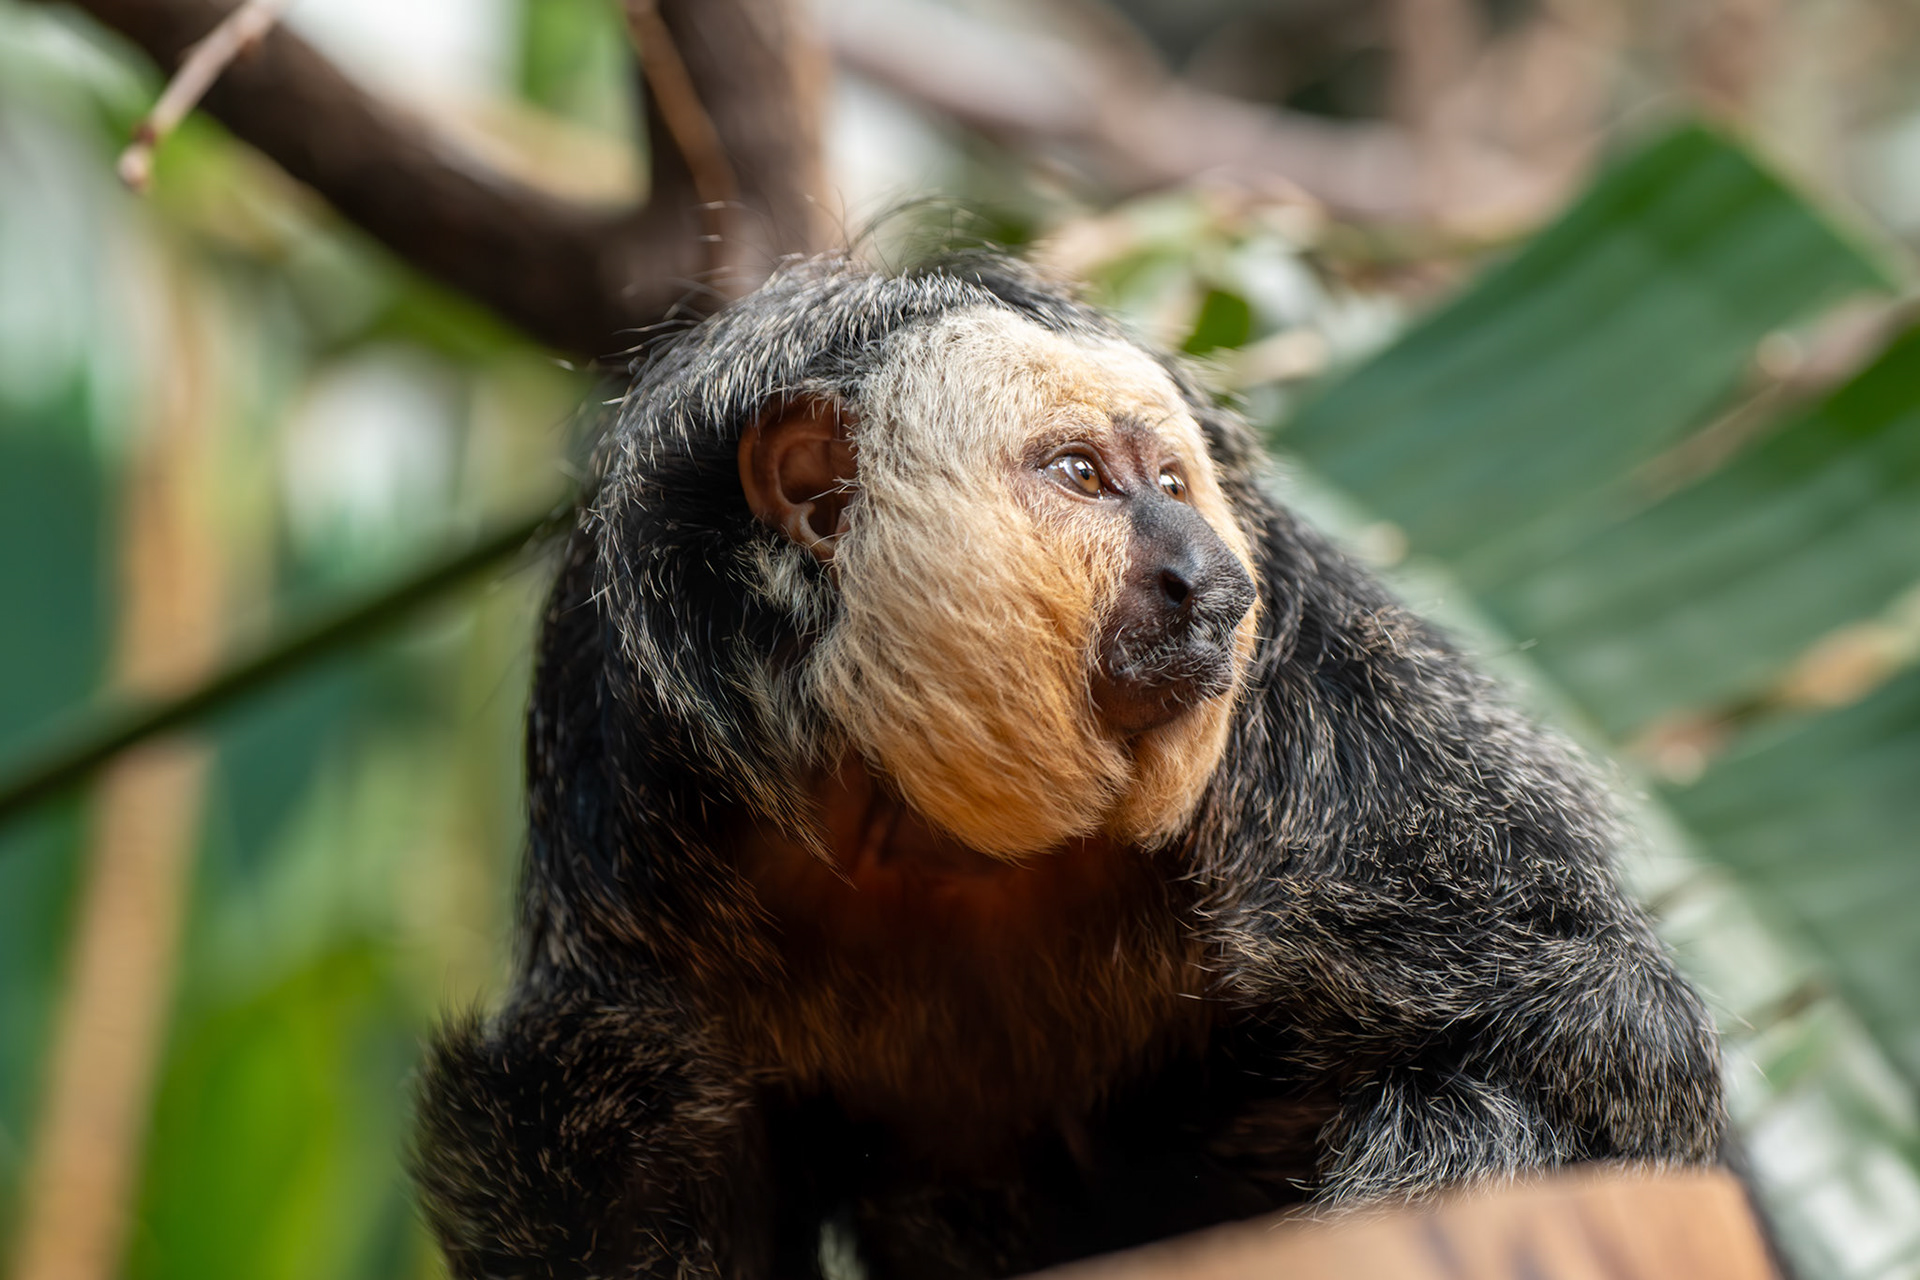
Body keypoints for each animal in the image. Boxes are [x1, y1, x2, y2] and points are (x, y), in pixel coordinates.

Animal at [413, 251, 1725, 1280]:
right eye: (1083, 474)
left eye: (1176, 482)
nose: (1208, 575)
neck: (926, 820)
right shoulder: (625, 779)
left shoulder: (1313, 693)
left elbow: (1590, 1035)